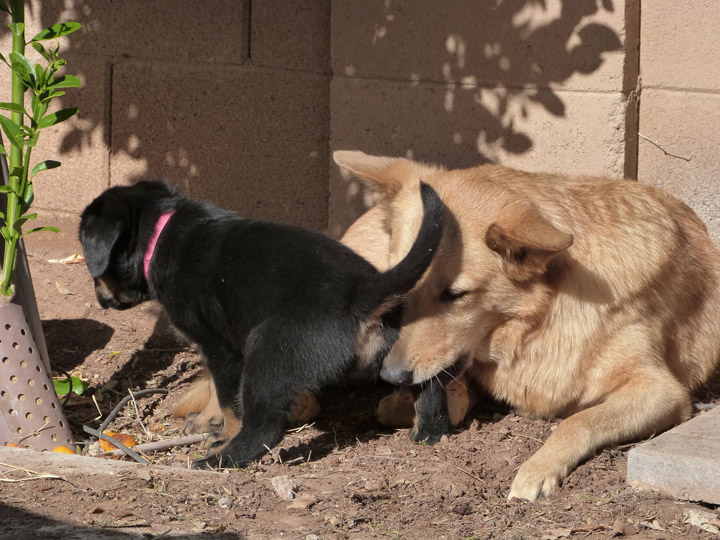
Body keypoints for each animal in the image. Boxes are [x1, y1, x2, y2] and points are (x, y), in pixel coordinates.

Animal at [80, 179, 444, 466]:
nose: (99, 300)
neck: (160, 233)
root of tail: (362, 291)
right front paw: (206, 422)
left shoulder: (218, 346)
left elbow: (228, 399)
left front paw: (221, 434)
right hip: (397, 348)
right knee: (427, 383)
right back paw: (431, 430)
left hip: (270, 350)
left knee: (264, 426)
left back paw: (220, 460)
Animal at [332, 149, 720, 502]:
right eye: (404, 285)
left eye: (456, 294)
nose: (391, 376)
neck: (540, 317)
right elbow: (454, 395)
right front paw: (408, 406)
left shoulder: (662, 391)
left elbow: (578, 420)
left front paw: (538, 467)